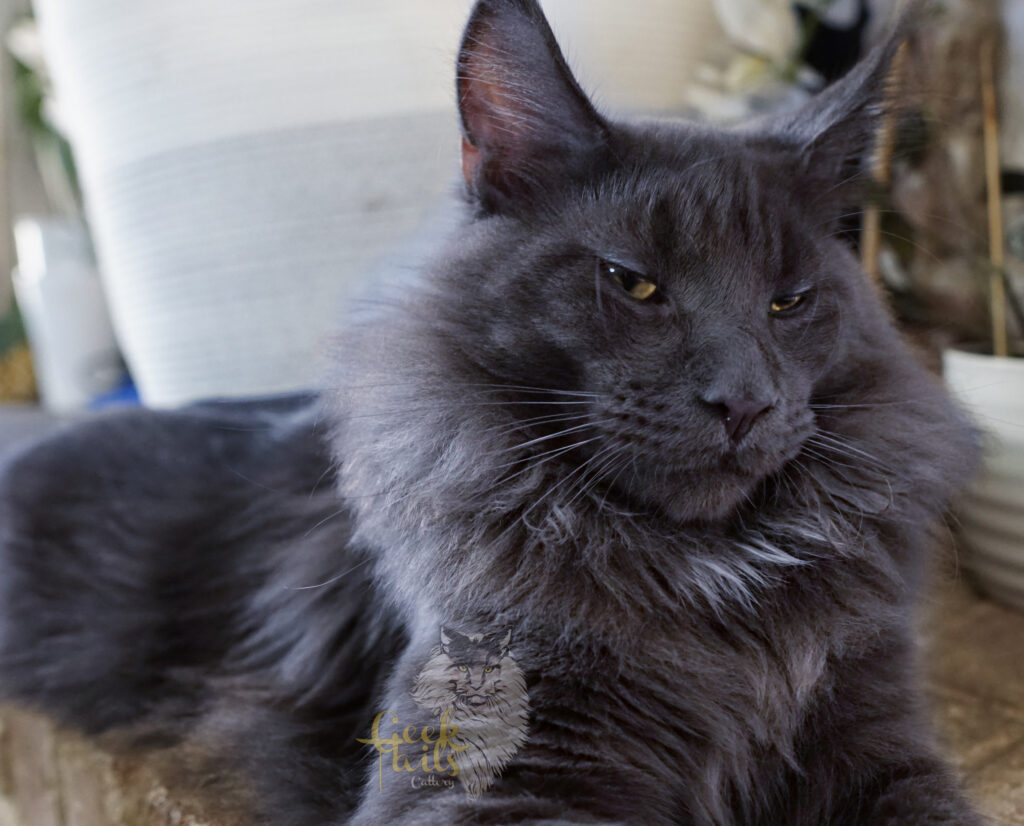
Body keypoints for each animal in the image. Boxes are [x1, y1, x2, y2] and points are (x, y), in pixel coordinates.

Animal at [0, 1, 987, 826]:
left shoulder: (873, 733)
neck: (710, 581)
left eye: (790, 301)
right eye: (633, 282)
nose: (745, 400)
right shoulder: (494, 761)